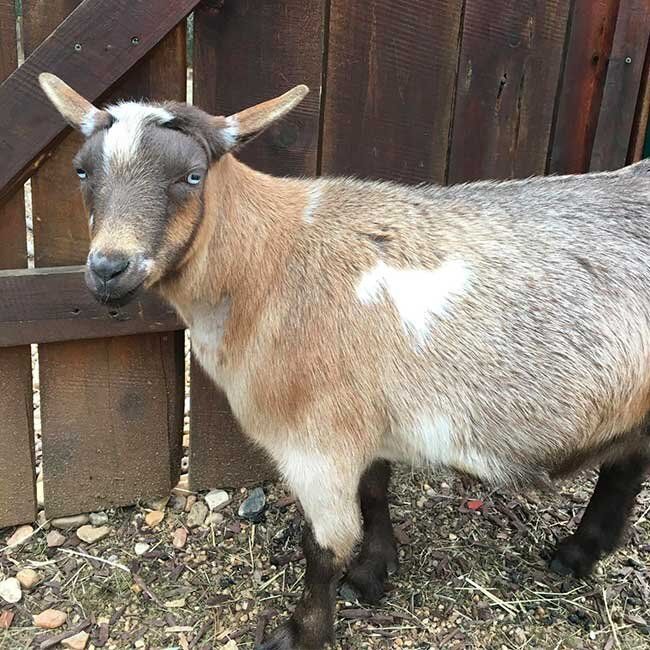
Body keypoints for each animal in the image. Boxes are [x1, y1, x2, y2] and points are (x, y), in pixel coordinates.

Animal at [39, 72, 650, 650]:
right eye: (81, 171)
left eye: (191, 176)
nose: (108, 269)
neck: (271, 264)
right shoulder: (363, 422)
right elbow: (375, 491)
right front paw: (374, 573)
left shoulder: (316, 440)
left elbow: (323, 548)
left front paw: (302, 632)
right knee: (626, 466)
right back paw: (577, 555)